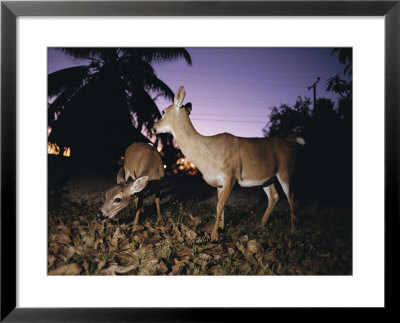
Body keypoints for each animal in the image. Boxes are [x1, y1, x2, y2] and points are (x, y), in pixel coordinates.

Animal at [152, 85, 304, 242]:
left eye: (163, 112)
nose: (153, 128)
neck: (207, 155)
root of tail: (290, 142)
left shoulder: (231, 175)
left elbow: (220, 205)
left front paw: (213, 236)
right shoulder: (219, 182)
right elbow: (221, 206)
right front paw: (220, 229)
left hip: (285, 171)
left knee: (291, 196)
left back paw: (293, 230)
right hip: (267, 179)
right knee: (274, 196)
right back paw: (261, 225)